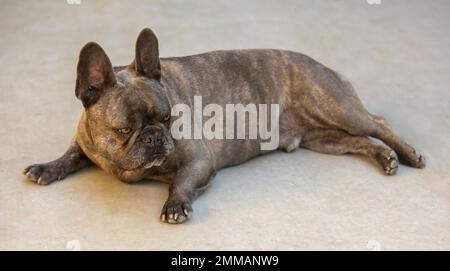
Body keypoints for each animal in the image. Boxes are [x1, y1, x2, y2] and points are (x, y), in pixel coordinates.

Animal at [23, 27, 426, 224]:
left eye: (168, 118)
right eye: (124, 130)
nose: (156, 137)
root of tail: (321, 63)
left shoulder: (198, 162)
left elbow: (182, 182)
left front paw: (175, 205)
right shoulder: (85, 142)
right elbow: (70, 155)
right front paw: (46, 167)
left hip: (336, 106)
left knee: (377, 123)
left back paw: (407, 154)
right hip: (323, 138)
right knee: (359, 141)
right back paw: (386, 158)